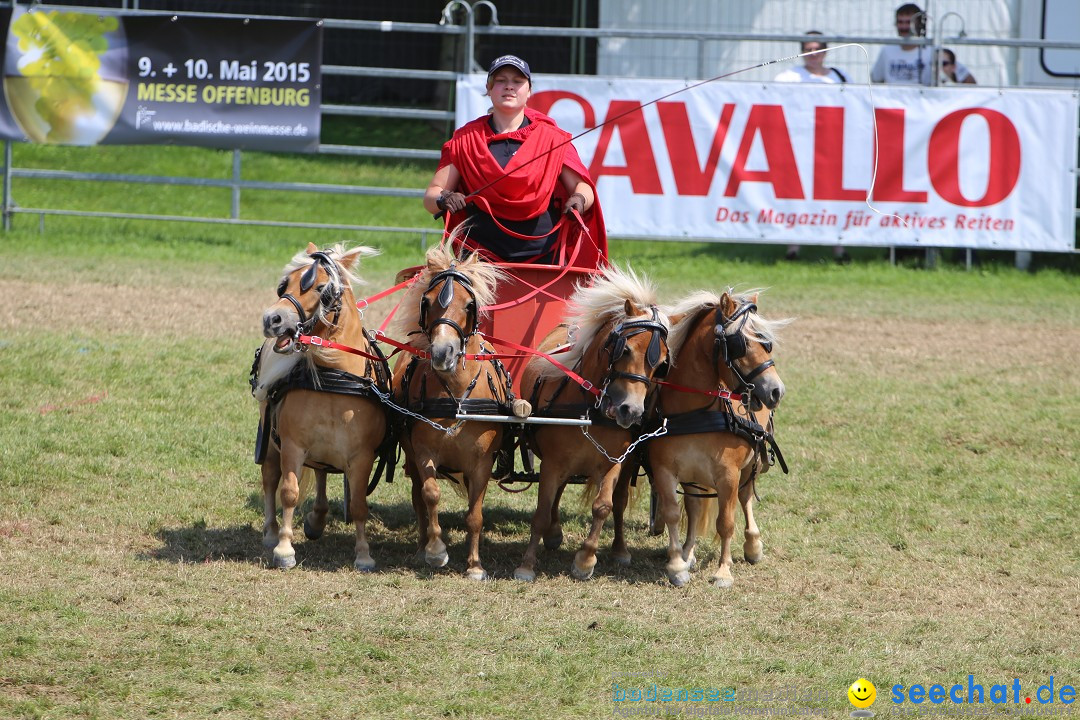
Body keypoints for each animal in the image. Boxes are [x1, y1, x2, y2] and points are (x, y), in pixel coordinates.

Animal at [254, 245, 390, 569]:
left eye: (321, 288)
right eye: (284, 285)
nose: (271, 319)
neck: (334, 379)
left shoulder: (362, 455)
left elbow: (358, 503)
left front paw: (364, 554)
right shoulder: (292, 446)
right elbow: (288, 493)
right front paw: (284, 549)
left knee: (321, 472)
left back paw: (317, 519)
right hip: (270, 442)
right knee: (270, 479)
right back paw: (271, 532)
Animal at [390, 241, 511, 578]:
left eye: (469, 305)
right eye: (427, 301)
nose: (443, 352)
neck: (456, 394)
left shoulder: (482, 462)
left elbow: (475, 514)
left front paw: (475, 565)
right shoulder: (423, 452)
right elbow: (430, 496)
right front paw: (436, 552)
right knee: (418, 497)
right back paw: (421, 548)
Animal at [511, 267, 665, 582]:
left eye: (661, 364)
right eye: (625, 350)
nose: (630, 411)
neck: (590, 408)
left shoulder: (615, 462)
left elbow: (604, 506)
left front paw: (585, 560)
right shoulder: (554, 462)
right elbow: (542, 511)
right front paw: (527, 564)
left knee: (619, 501)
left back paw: (620, 550)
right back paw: (553, 534)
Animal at [617, 289, 794, 587]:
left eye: (766, 343)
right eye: (742, 343)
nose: (776, 391)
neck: (694, 411)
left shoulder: (729, 474)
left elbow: (726, 521)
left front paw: (723, 571)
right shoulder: (666, 471)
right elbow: (674, 513)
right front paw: (677, 565)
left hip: (751, 463)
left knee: (745, 497)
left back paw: (753, 545)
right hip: (693, 476)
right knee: (695, 507)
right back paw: (689, 553)